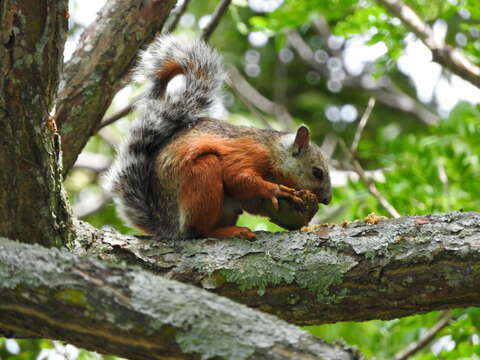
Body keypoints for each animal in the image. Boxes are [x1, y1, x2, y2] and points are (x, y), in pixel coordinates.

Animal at [104, 35, 330, 239]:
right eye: (317, 172)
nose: (327, 200)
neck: (274, 152)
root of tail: (167, 227)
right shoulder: (248, 152)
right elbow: (239, 177)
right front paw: (275, 190)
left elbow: (250, 200)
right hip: (203, 176)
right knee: (197, 232)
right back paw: (226, 232)